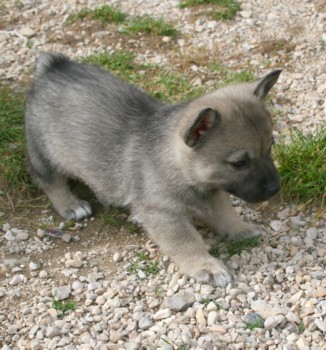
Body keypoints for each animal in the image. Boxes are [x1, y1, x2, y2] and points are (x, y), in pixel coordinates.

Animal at [26, 52, 280, 288]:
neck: (177, 166)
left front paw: (238, 228)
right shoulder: (164, 214)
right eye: (240, 163)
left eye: (270, 147)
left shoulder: (213, 191)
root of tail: (54, 66)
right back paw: (71, 204)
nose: (275, 188)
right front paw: (205, 265)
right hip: (45, 154)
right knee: (50, 181)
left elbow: (225, 213)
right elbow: (187, 242)